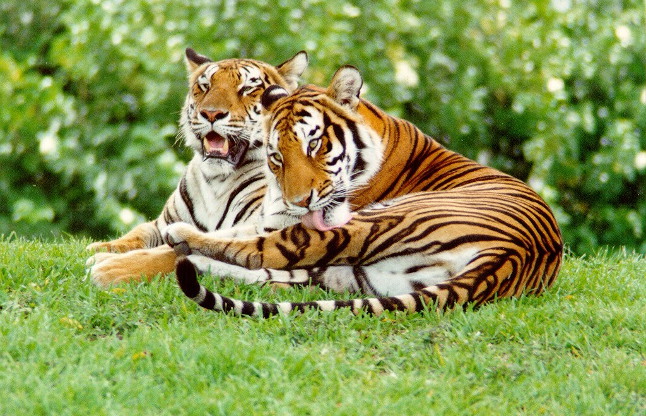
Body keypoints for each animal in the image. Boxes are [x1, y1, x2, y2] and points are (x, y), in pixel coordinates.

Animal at [86, 47, 308, 286]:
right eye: (205, 86)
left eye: (247, 89)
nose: (211, 113)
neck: (216, 180)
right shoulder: (163, 223)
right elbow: (138, 233)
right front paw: (100, 248)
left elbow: (173, 252)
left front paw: (109, 268)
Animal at [164, 65, 564, 317]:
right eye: (276, 156)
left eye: (314, 145)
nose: (299, 201)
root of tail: (509, 257)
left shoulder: (283, 221)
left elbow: (244, 240)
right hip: (356, 275)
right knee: (281, 274)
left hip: (375, 219)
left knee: (263, 255)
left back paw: (183, 242)